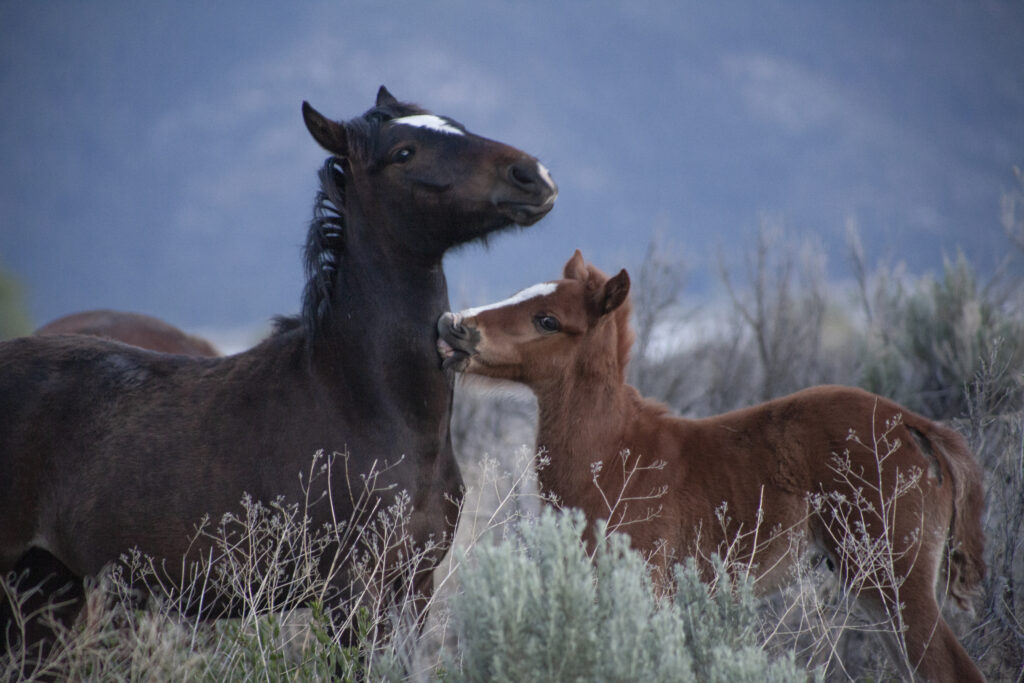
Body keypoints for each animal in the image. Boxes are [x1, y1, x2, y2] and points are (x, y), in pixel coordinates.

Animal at [437, 250, 986, 683]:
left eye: (548, 320)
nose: (453, 324)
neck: (616, 454)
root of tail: (915, 425)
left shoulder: (646, 584)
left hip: (895, 577)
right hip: (873, 589)